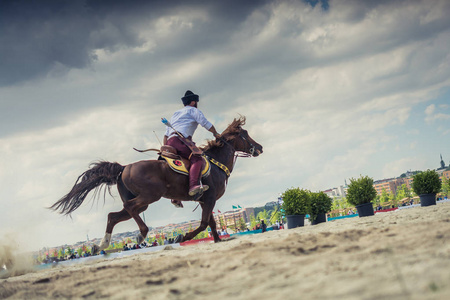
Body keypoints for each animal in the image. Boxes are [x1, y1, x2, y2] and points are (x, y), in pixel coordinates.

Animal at [51, 116, 264, 252]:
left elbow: (210, 223)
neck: (215, 163)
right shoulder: (209, 199)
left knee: (114, 215)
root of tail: (124, 168)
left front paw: (218, 240)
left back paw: (102, 244)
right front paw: (182, 237)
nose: (260, 147)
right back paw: (141, 234)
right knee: (130, 208)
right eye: (245, 134)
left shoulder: (206, 200)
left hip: (142, 201)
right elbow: (204, 223)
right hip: (150, 196)